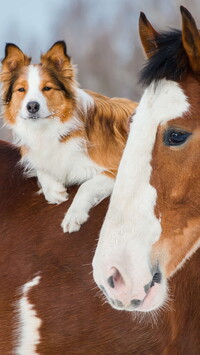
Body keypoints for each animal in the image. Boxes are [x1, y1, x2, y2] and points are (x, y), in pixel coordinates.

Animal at [0, 41, 138, 234]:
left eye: (47, 88)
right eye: (21, 90)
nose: (32, 106)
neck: (51, 130)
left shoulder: (116, 167)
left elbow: (85, 186)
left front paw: (73, 216)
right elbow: (42, 167)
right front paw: (53, 191)